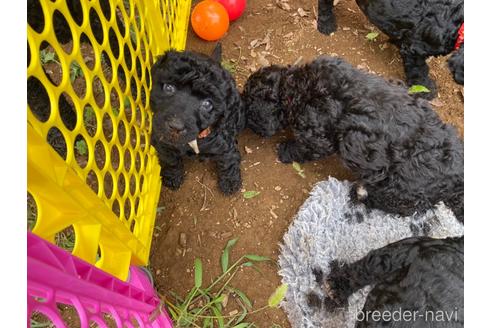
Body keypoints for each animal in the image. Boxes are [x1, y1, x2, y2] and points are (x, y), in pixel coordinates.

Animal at [149, 46, 243, 195]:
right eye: (169, 87)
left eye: (207, 104)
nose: (175, 126)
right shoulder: (161, 142)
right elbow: (170, 160)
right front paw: (172, 177)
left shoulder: (226, 146)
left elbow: (228, 162)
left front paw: (230, 183)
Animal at [244, 56, 464, 222]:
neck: (296, 86)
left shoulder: (316, 134)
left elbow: (306, 147)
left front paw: (285, 151)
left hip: (398, 189)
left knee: (408, 207)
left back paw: (361, 194)